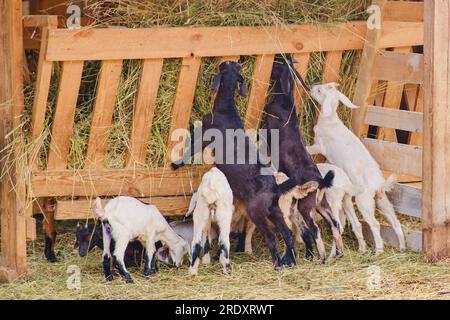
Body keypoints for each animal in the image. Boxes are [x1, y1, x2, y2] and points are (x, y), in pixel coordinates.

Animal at [172, 60, 302, 270]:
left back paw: (277, 263)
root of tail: (275, 188)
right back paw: (286, 261)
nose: (226, 61)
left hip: (257, 212)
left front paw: (175, 164)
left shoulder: (206, 135)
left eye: (225, 65)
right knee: (288, 235)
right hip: (274, 210)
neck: (226, 108)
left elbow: (192, 148)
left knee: (272, 237)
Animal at [262, 53, 342, 262]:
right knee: (334, 223)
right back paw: (338, 252)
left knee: (315, 229)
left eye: (277, 63)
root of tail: (321, 182)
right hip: (321, 204)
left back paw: (322, 257)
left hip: (305, 207)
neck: (285, 102)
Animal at [308, 83, 406, 255]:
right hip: (382, 201)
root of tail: (379, 185)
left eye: (319, 90)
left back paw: (378, 251)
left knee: (375, 224)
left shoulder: (319, 145)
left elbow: (309, 149)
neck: (330, 121)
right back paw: (401, 248)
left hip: (364, 202)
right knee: (395, 222)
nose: (311, 87)